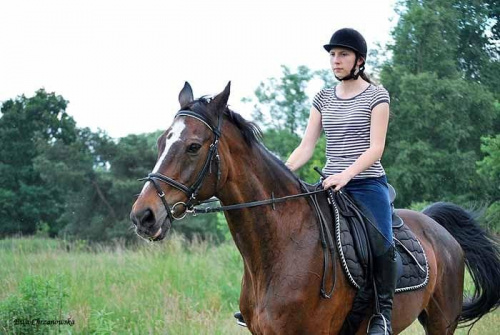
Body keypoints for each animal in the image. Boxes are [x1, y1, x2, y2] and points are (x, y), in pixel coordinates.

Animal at [130, 82, 500, 334]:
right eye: (161, 142)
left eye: (193, 146)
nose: (143, 216)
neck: (282, 246)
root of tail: (436, 227)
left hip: (441, 321)